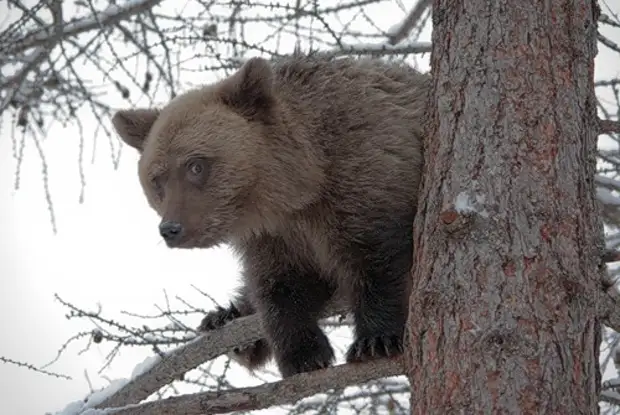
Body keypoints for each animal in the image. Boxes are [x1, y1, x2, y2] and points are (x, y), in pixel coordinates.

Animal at [111, 52, 428, 380]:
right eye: (157, 179)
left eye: (195, 165)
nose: (171, 228)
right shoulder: (274, 237)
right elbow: (280, 288)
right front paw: (303, 354)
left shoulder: (365, 179)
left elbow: (377, 261)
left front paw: (375, 340)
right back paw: (226, 320)